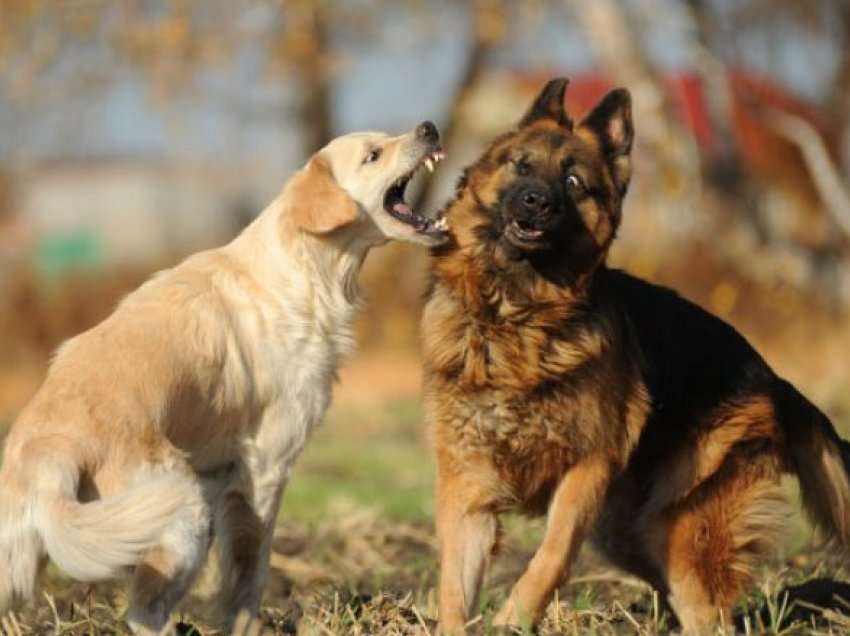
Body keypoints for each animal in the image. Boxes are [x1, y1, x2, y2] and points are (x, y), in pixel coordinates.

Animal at [0, 121, 448, 632]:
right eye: (373, 154)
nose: (429, 128)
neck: (301, 269)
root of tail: (48, 450)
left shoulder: (221, 469)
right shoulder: (268, 466)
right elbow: (249, 574)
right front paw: (246, 625)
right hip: (181, 515)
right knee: (144, 612)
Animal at [422, 78, 848, 632]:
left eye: (575, 183)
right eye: (520, 165)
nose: (536, 202)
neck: (515, 317)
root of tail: (775, 380)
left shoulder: (587, 470)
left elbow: (551, 557)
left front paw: (512, 619)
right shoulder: (468, 488)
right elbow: (454, 587)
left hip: (682, 536)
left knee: (709, 611)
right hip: (630, 534)